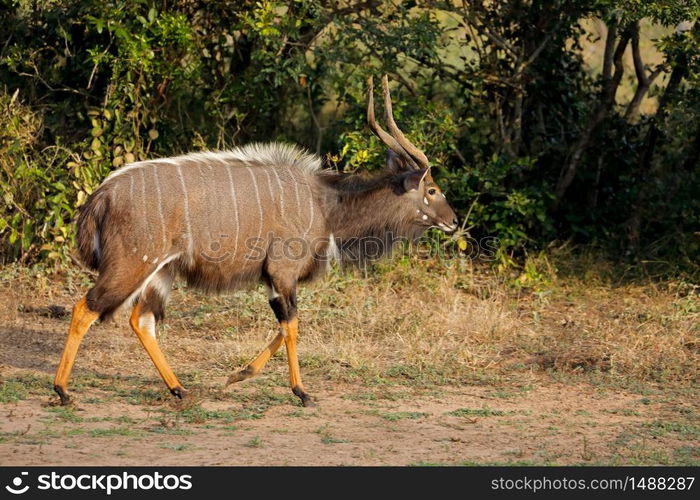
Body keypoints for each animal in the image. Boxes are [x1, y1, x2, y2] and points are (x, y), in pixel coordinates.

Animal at [56, 76, 460, 408]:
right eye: (432, 189)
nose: (454, 221)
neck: (327, 206)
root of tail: (102, 195)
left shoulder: (273, 279)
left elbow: (284, 326)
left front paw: (238, 375)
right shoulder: (282, 272)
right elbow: (292, 325)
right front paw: (301, 392)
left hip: (162, 271)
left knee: (141, 320)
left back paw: (180, 389)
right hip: (131, 264)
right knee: (85, 308)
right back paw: (62, 390)